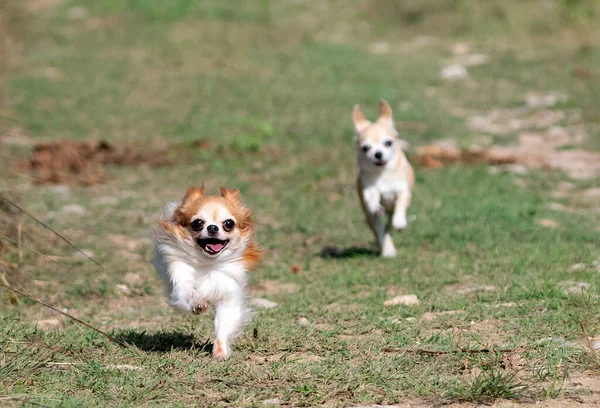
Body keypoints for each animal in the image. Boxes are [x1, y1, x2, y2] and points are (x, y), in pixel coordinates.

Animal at [354, 100, 414, 256]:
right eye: (366, 148)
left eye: (388, 143)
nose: (378, 154)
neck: (383, 173)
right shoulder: (370, 190)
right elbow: (372, 199)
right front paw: (376, 207)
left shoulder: (402, 191)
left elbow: (400, 203)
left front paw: (400, 221)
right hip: (371, 219)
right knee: (379, 231)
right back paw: (386, 249)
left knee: (389, 227)